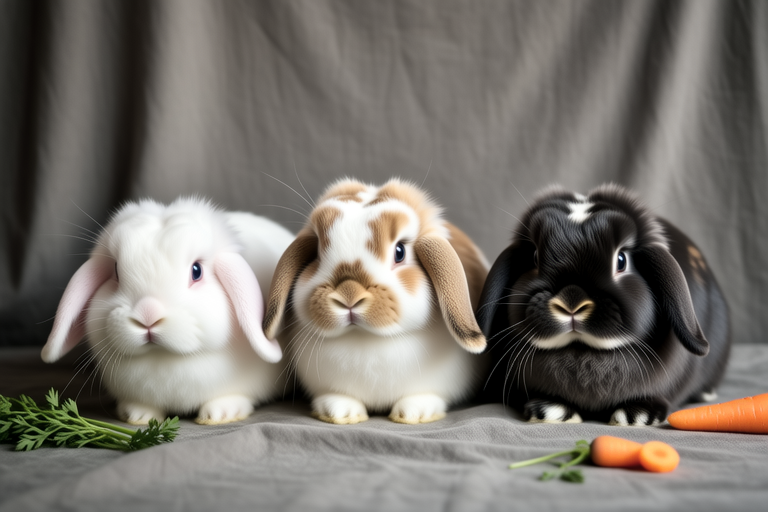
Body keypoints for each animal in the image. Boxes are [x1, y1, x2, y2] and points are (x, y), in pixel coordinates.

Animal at [41, 197, 295, 425]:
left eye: (196, 271)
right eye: (115, 271)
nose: (148, 316)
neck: (164, 360)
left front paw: (221, 414)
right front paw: (137, 415)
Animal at [262, 178, 489, 424]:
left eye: (399, 252)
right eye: (318, 254)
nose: (349, 295)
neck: (365, 339)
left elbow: (423, 396)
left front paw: (414, 413)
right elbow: (339, 397)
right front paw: (339, 412)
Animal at [476, 183, 731, 426]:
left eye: (621, 260)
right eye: (535, 258)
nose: (571, 301)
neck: (583, 352)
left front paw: (637, 416)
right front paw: (549, 410)